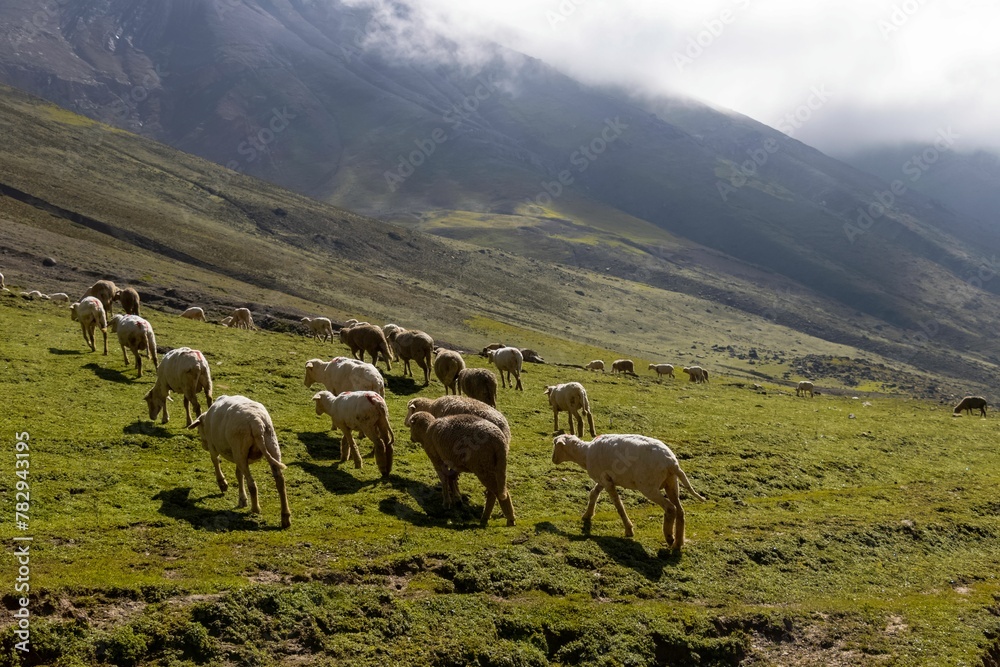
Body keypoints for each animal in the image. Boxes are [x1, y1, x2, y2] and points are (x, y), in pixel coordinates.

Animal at [187, 395, 291, 528]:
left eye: (199, 429)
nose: (203, 446)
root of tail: (257, 423)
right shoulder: (238, 456)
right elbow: (238, 474)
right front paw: (242, 499)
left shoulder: (213, 446)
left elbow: (215, 462)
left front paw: (222, 484)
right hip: (270, 444)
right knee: (280, 482)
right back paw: (285, 517)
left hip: (240, 448)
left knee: (252, 484)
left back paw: (255, 509)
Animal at [551, 433, 705, 549]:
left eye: (555, 445)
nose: (553, 459)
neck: (584, 453)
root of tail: (672, 463)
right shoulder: (604, 478)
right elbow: (593, 494)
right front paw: (587, 515)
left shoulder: (607, 481)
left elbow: (618, 505)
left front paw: (628, 530)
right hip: (671, 483)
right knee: (680, 510)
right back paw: (678, 543)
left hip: (649, 486)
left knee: (670, 508)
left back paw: (669, 537)